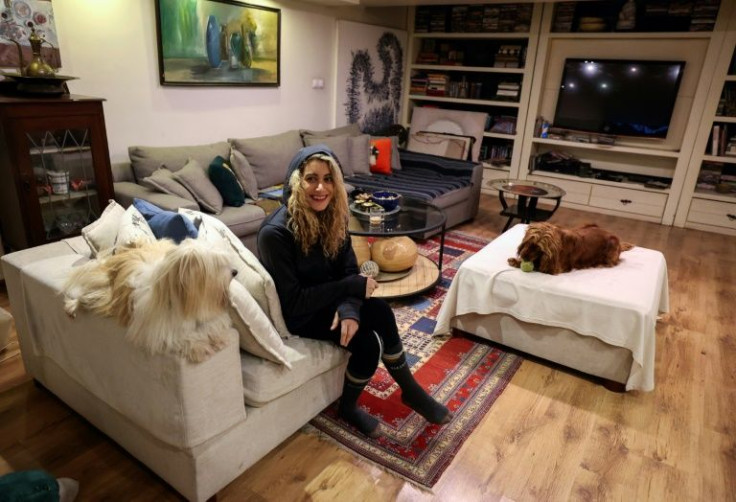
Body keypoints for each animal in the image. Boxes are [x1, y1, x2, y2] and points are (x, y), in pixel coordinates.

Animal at [63, 237, 237, 362]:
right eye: (219, 264)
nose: (235, 272)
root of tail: (130, 248)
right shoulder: (156, 331)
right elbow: (181, 337)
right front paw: (199, 347)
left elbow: (210, 326)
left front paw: (218, 339)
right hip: (106, 292)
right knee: (88, 295)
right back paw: (73, 306)